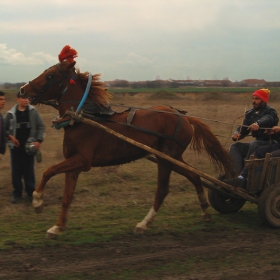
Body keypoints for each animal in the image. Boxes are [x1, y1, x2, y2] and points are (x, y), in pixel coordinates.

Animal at [20, 46, 234, 238]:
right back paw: (204, 210)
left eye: (50, 76)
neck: (82, 116)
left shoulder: (82, 160)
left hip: (167, 158)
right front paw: (57, 227)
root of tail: (185, 117)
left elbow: (49, 171)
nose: (22, 90)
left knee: (162, 190)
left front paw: (37, 201)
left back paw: (144, 224)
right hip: (170, 157)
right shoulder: (73, 164)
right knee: (194, 176)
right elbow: (67, 197)